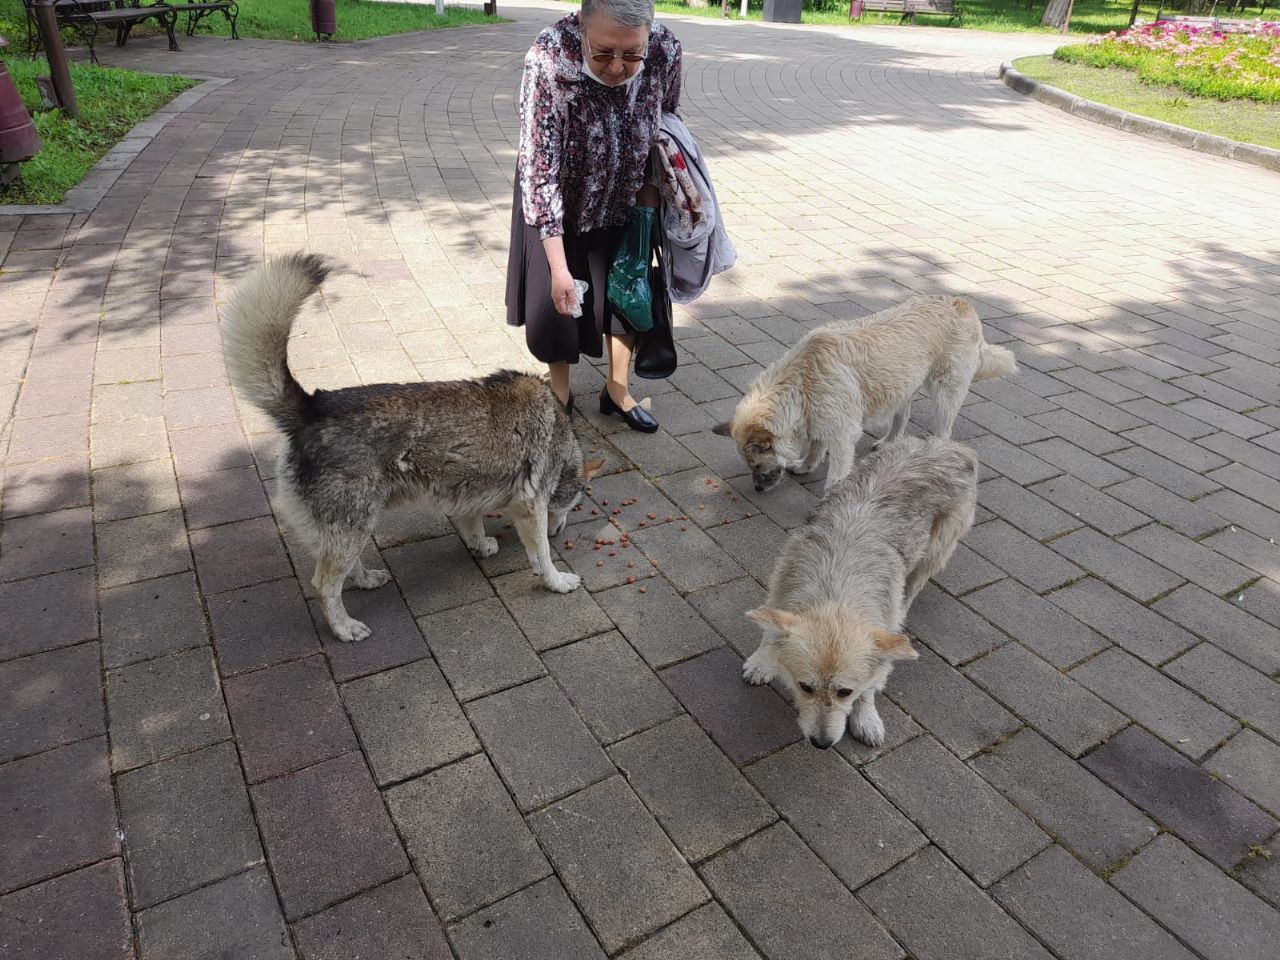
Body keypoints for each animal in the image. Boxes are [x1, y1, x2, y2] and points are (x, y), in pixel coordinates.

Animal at [222, 256, 596, 642]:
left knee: (345, 570)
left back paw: (367, 580)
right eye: (573, 506)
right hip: (353, 527)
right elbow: (543, 556)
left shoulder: (468, 498)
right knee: (324, 584)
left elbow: (474, 528)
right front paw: (557, 581)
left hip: (351, 528)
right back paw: (344, 628)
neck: (561, 431)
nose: (562, 529)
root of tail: (312, 407)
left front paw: (482, 546)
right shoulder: (530, 506)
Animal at [716, 296, 1013, 496]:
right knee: (903, 415)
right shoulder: (820, 420)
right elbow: (814, 447)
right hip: (900, 386)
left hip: (945, 392)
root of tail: (961, 302)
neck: (800, 380)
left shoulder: (842, 436)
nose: (757, 489)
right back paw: (890, 442)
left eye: (756, 465)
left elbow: (835, 475)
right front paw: (806, 466)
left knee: (944, 430)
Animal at [742, 435, 977, 752]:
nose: (822, 743)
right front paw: (761, 662)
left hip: (934, 553)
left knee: (912, 587)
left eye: (845, 691)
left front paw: (866, 717)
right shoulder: (780, 589)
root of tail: (951, 445)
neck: (837, 585)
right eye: (805, 687)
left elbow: (872, 680)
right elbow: (769, 631)